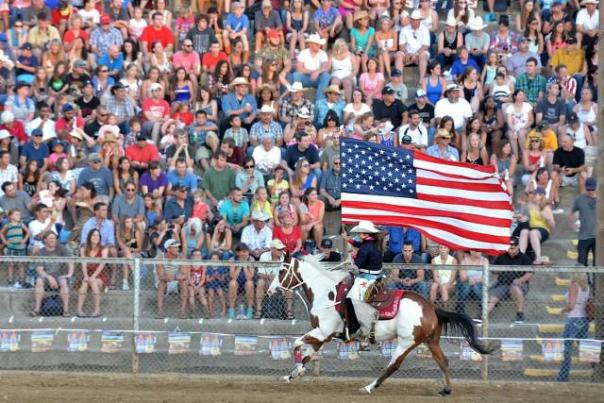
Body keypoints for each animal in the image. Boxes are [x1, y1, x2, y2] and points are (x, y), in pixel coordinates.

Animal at [266, 258, 494, 396]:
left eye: (281, 270)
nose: (270, 290)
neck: (327, 293)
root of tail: (431, 307)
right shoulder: (323, 336)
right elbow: (307, 354)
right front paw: (293, 374)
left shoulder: (322, 332)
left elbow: (296, 344)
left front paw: (296, 371)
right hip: (431, 342)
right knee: (443, 362)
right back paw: (446, 389)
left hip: (406, 342)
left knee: (393, 365)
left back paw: (368, 387)